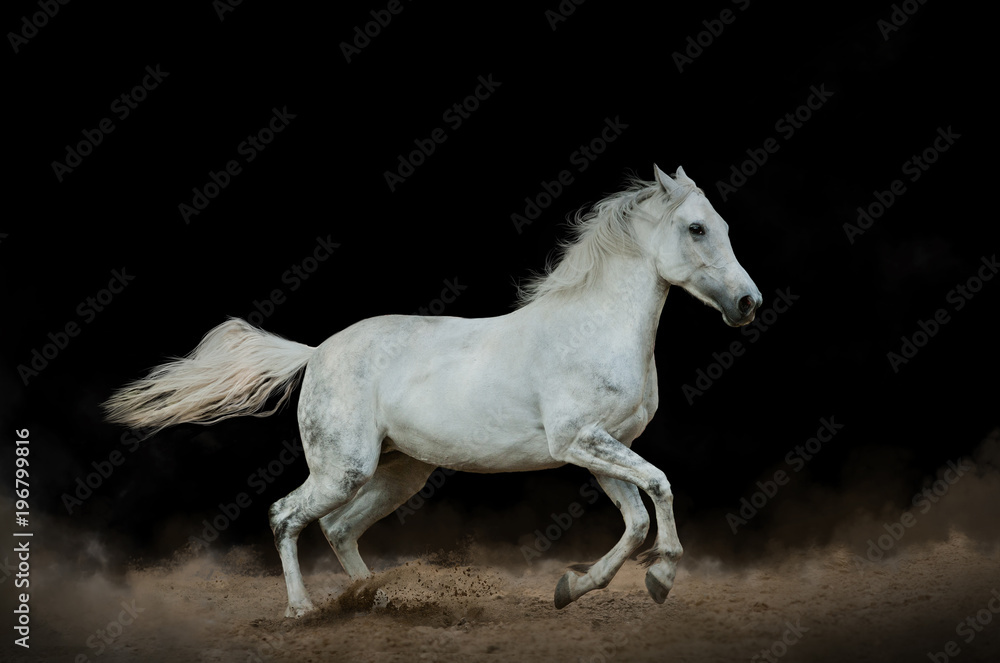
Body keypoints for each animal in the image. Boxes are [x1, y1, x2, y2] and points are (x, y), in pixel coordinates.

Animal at [103, 165, 756, 616]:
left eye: (725, 227)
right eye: (696, 228)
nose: (749, 303)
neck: (593, 327)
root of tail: (316, 353)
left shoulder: (600, 449)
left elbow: (636, 519)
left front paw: (571, 588)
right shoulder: (582, 441)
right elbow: (660, 487)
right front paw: (661, 578)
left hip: (398, 471)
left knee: (338, 529)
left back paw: (375, 601)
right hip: (343, 468)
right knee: (286, 517)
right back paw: (302, 609)